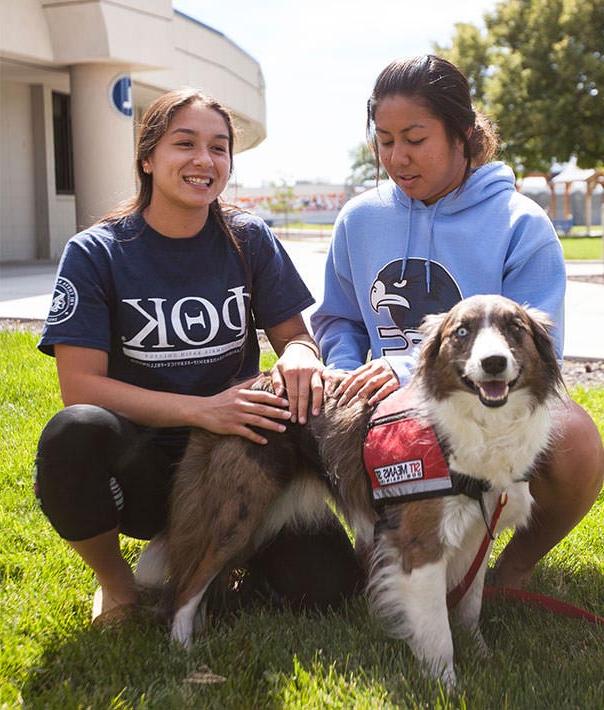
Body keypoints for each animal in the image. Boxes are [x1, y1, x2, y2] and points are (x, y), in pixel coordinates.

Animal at [136, 292, 560, 688]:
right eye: (462, 332)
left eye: (515, 329)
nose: (494, 363)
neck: (483, 425)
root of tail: (238, 393)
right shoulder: (418, 544)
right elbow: (438, 632)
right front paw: (446, 686)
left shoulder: (478, 532)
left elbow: (469, 607)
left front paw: (483, 656)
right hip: (238, 513)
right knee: (188, 585)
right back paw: (183, 649)